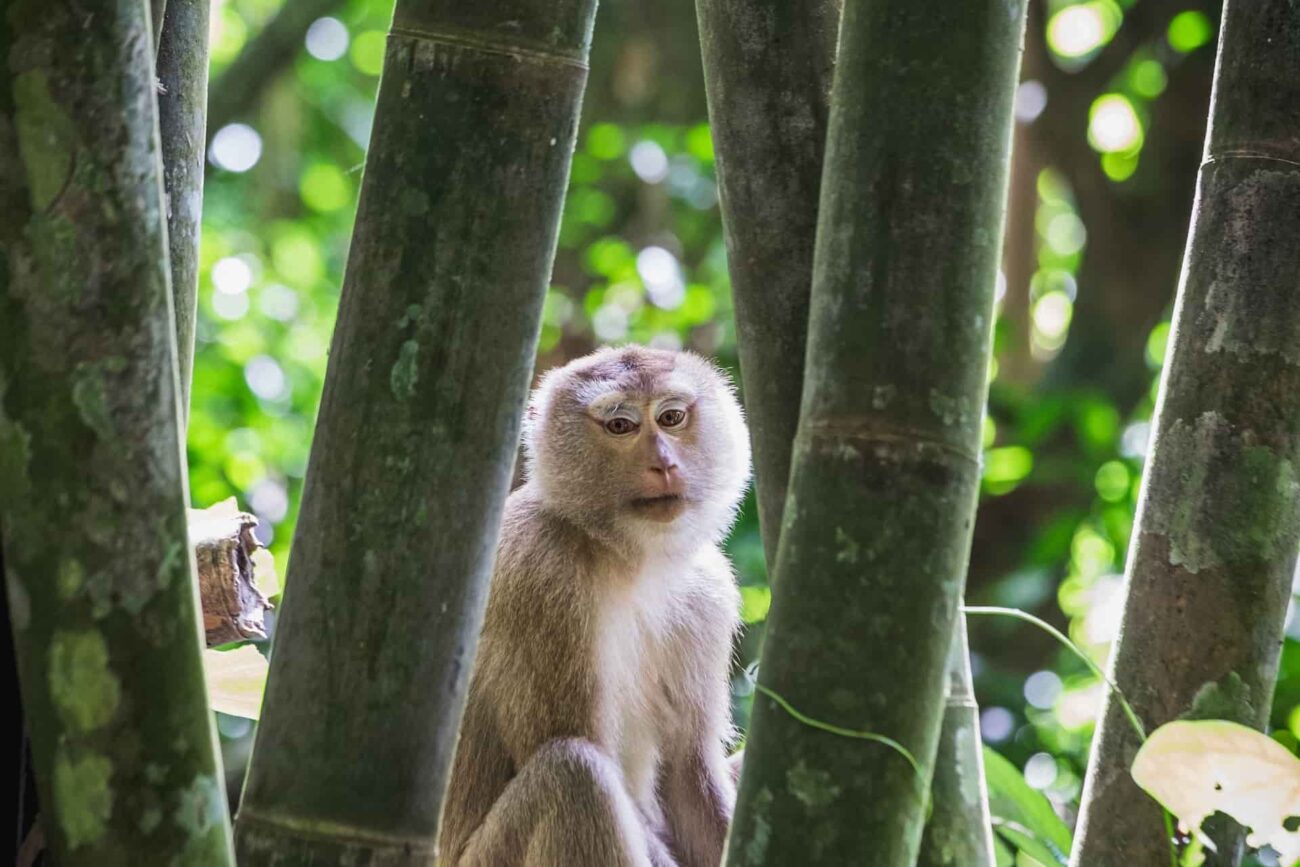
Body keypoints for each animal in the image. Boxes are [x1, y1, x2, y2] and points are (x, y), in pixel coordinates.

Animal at [440, 345, 752, 867]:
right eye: (621, 425)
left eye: (671, 418)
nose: (664, 463)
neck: (624, 557)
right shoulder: (544, 579)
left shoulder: (708, 593)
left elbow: (689, 773)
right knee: (575, 774)